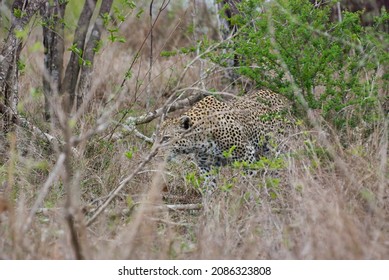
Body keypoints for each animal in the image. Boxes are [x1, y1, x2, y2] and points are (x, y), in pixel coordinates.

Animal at [159, 88, 296, 182]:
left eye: (166, 138)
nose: (157, 153)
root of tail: (282, 97)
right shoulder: (206, 167)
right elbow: (209, 190)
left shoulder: (246, 154)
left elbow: (248, 180)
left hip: (280, 147)